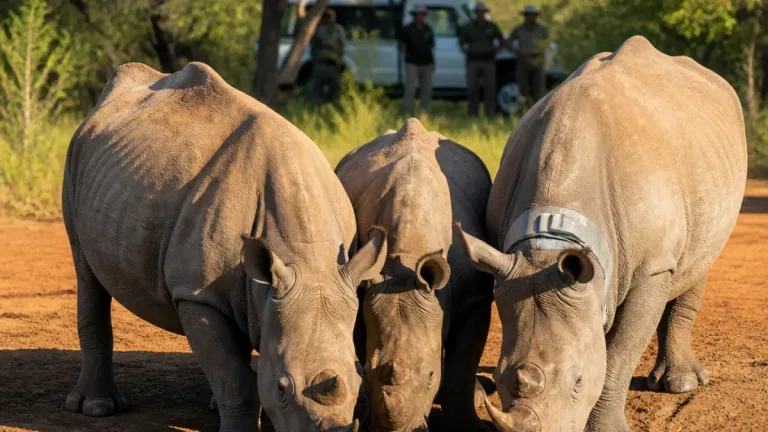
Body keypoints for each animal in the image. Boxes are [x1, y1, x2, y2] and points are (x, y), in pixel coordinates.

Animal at [61, 62, 387, 432]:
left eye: (360, 377)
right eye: (282, 388)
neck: (306, 258)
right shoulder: (197, 294)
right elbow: (233, 377)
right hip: (75, 158)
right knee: (87, 273)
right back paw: (97, 407)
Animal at [335, 119, 494, 431]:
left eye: (431, 374)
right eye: (368, 371)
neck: (406, 260)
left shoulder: (476, 297)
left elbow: (462, 366)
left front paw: (466, 426)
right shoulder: (364, 290)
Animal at [455, 36, 747, 432]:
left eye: (578, 380)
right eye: (499, 379)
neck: (550, 242)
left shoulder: (652, 267)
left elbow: (618, 353)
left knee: (698, 260)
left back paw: (682, 384)